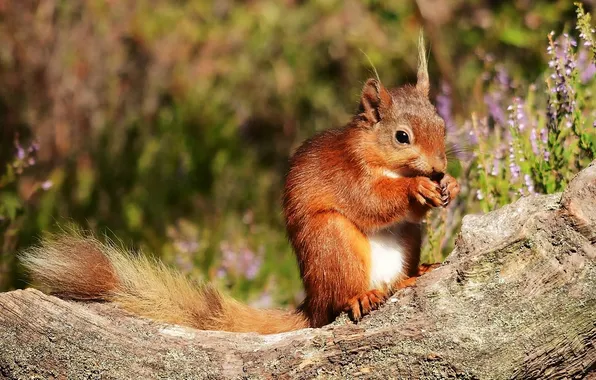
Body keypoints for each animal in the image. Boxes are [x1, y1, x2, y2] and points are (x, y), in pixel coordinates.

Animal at [17, 38, 456, 334]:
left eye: (442, 123)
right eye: (402, 137)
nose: (438, 167)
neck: (381, 158)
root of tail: (311, 303)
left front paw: (448, 185)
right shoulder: (348, 174)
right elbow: (370, 201)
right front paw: (417, 189)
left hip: (405, 240)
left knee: (397, 274)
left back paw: (416, 273)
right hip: (331, 242)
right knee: (338, 299)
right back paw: (360, 296)